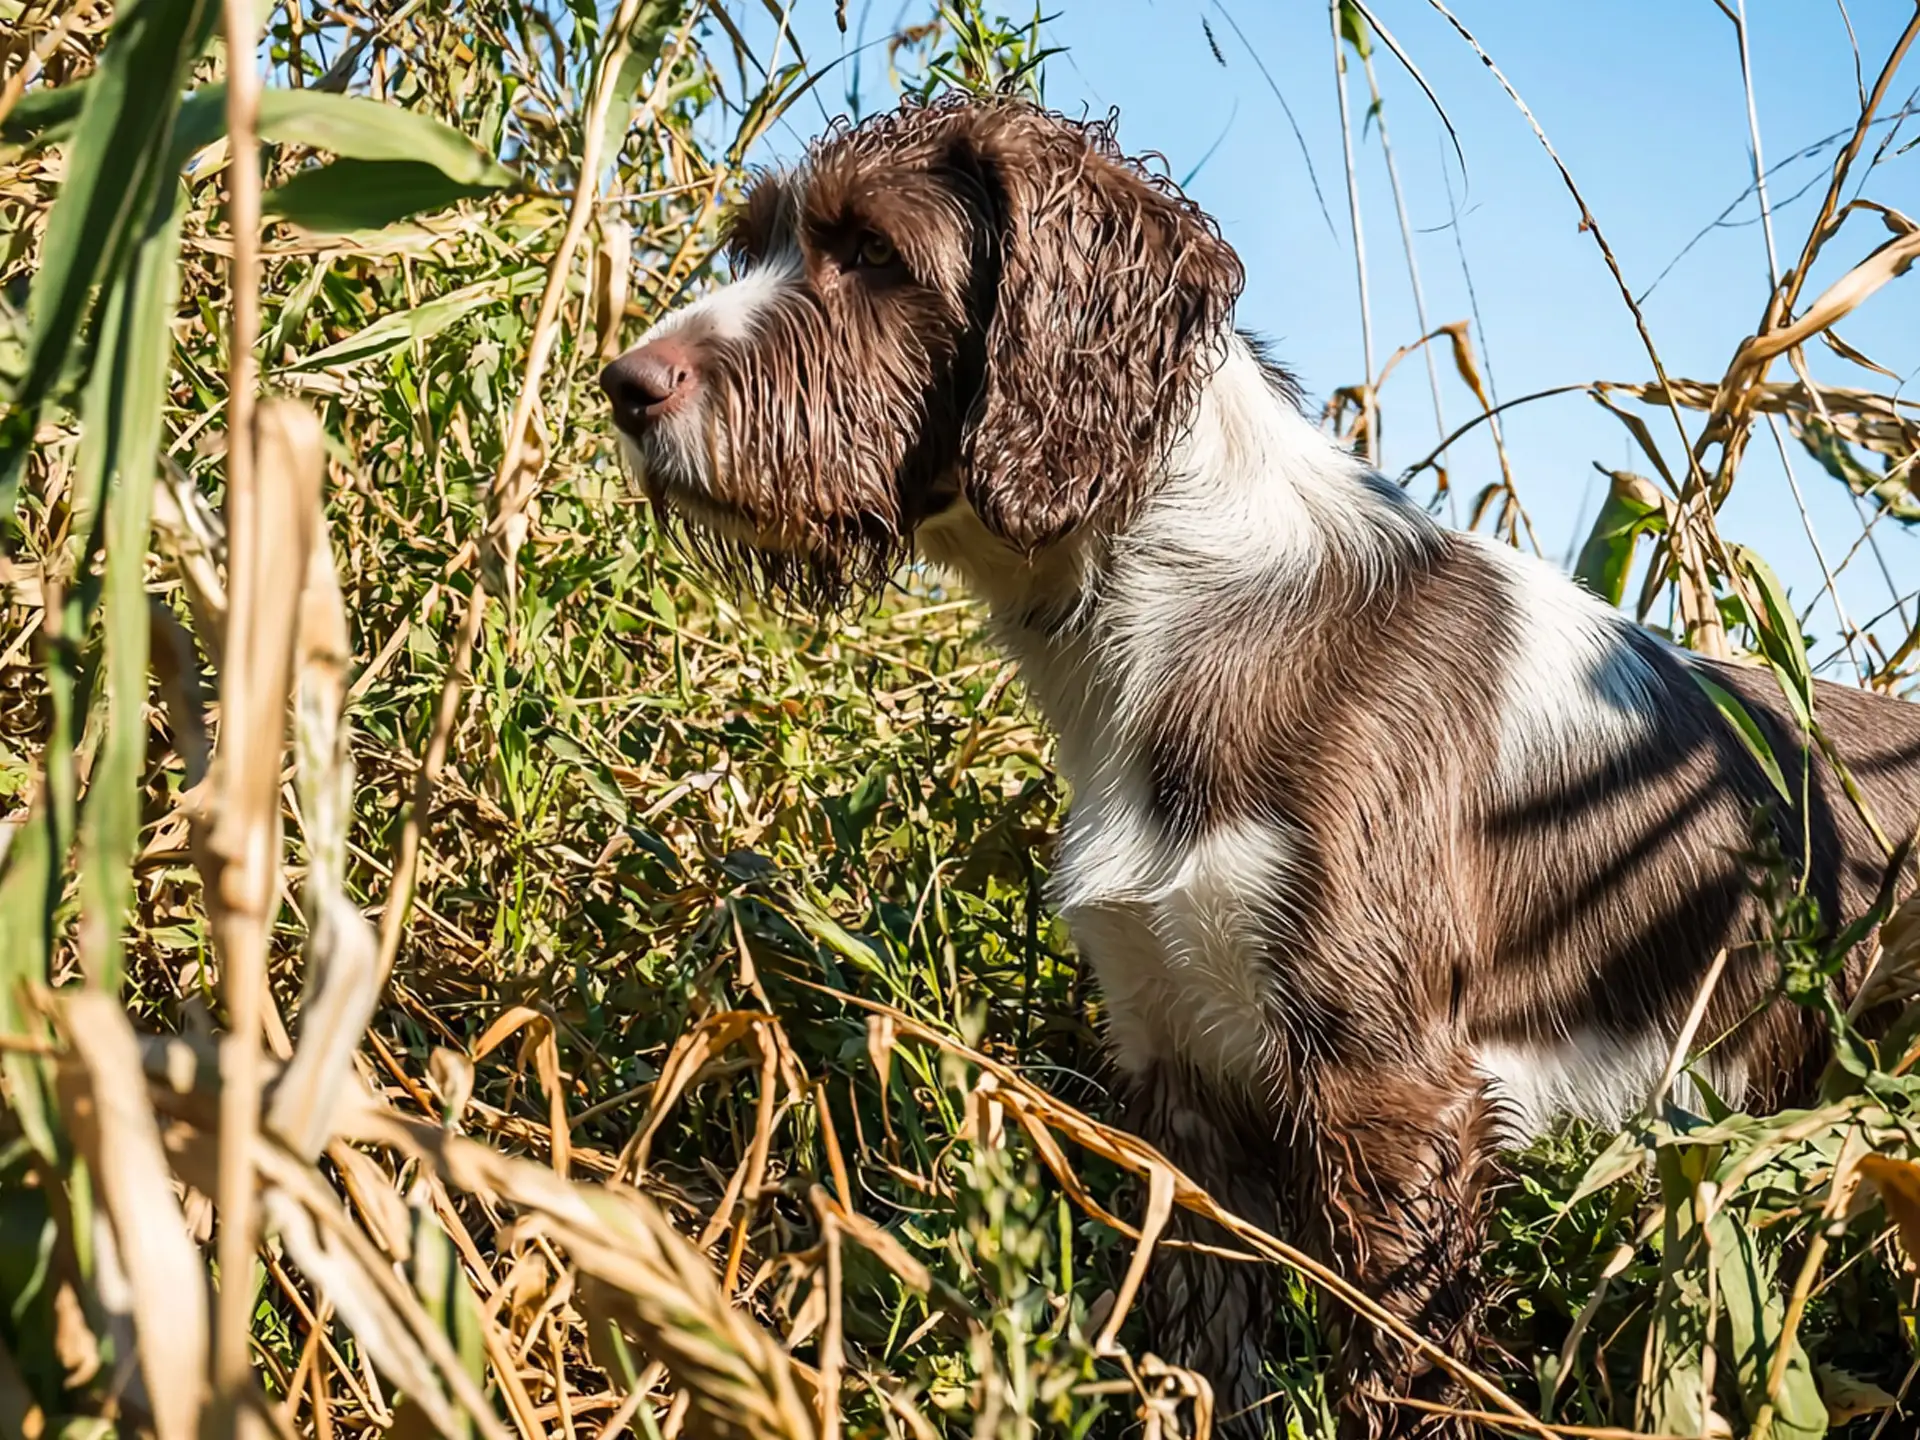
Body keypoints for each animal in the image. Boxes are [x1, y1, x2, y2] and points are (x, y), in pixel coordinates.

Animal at [599, 96, 1920, 1436]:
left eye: (873, 253)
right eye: (754, 243)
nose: (623, 383)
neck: (1179, 603)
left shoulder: (1392, 1088)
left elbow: (1401, 1360)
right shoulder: (1183, 1073)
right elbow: (1207, 1343)